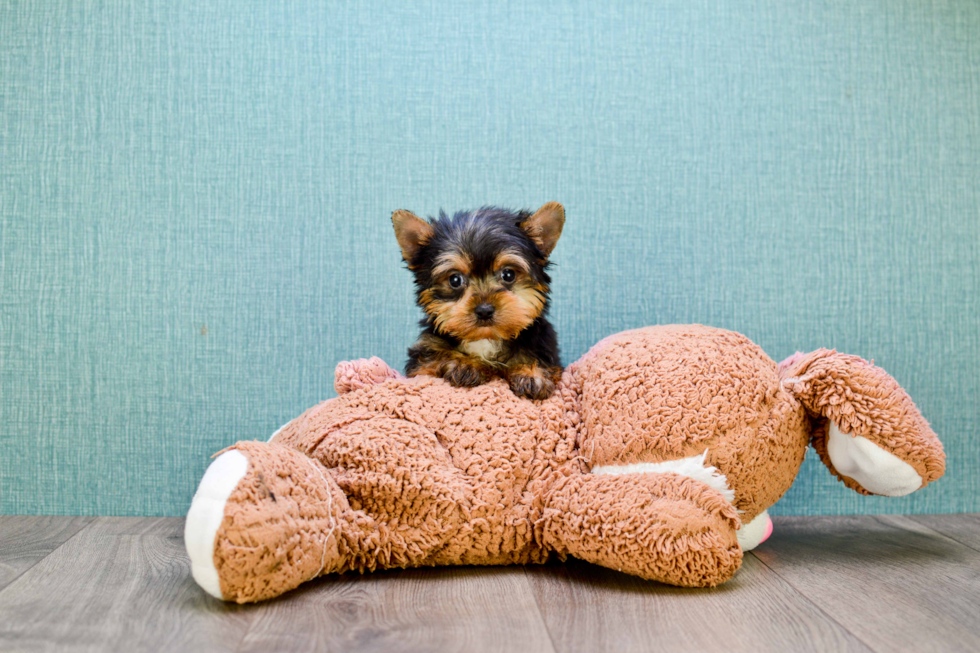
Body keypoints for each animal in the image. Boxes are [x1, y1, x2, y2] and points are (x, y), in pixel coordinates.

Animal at [392, 202, 568, 398]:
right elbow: (435, 359)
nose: (484, 310)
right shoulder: (422, 361)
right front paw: (465, 364)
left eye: (508, 274)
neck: (485, 340)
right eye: (455, 280)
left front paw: (531, 373)